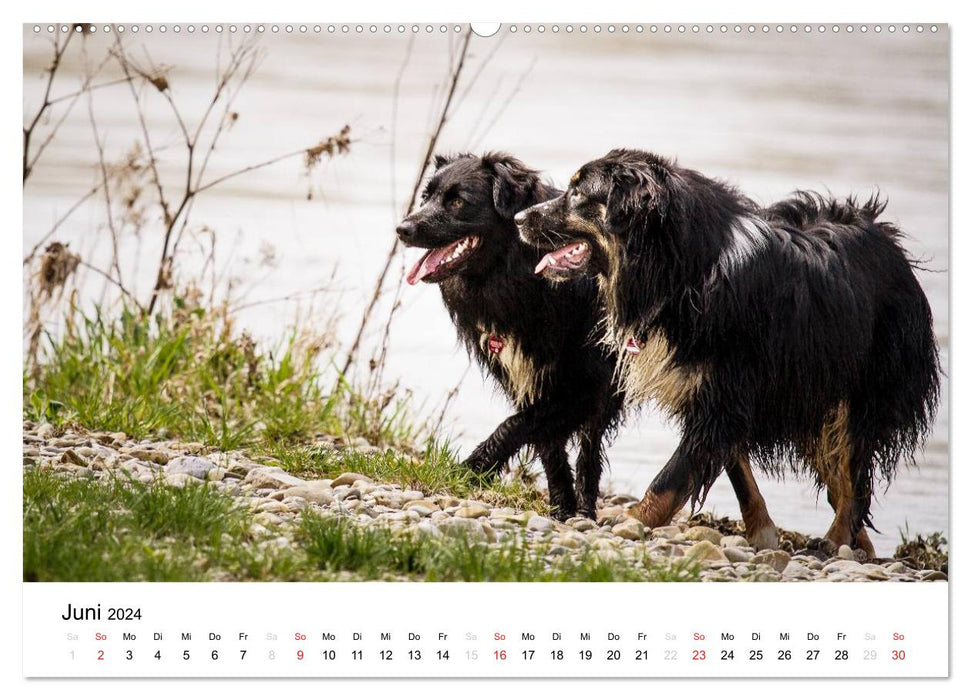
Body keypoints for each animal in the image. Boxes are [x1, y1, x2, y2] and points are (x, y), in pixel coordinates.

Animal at [520, 149, 936, 556]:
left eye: (578, 193)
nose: (519, 218)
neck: (682, 271)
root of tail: (887, 238)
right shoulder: (718, 392)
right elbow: (738, 472)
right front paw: (762, 531)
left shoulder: (727, 390)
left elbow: (673, 473)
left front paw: (633, 519)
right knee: (844, 478)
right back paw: (856, 545)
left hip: (863, 389)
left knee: (853, 475)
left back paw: (835, 540)